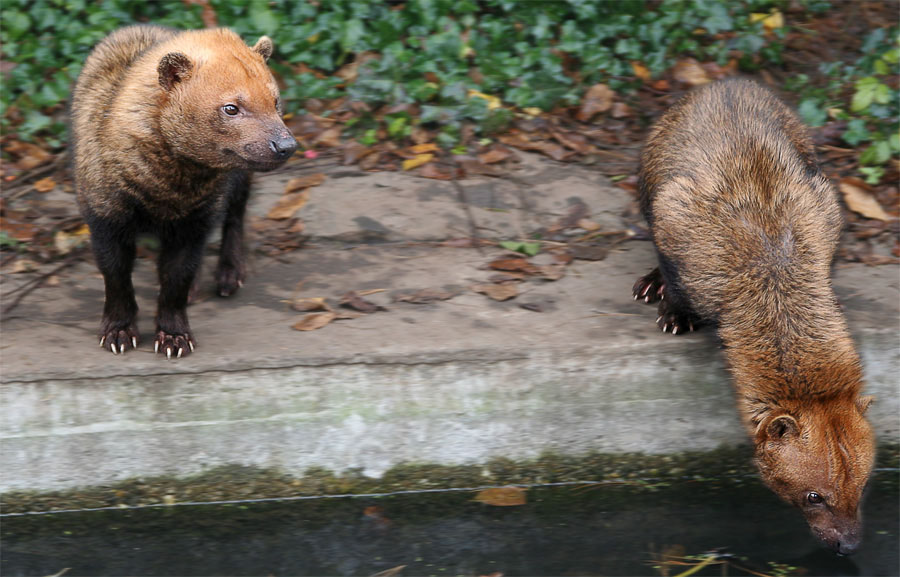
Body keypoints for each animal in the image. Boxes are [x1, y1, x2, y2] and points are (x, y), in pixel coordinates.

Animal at [72, 28, 296, 360]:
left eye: (275, 101)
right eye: (231, 107)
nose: (286, 146)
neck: (165, 193)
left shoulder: (195, 221)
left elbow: (177, 278)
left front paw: (174, 337)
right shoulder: (104, 214)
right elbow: (115, 275)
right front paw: (118, 332)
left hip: (238, 181)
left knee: (236, 216)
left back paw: (229, 274)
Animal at [636, 77, 876, 552]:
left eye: (861, 486)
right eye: (814, 496)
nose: (849, 544)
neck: (771, 265)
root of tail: (727, 81)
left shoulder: (822, 206)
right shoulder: (674, 213)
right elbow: (674, 276)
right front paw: (673, 311)